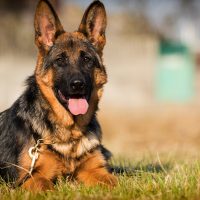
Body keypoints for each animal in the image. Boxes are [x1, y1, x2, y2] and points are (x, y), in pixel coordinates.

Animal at [0, 0, 117, 191]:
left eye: (87, 59)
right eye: (60, 60)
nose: (77, 84)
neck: (70, 136)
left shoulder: (97, 170)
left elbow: (115, 182)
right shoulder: (29, 178)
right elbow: (46, 185)